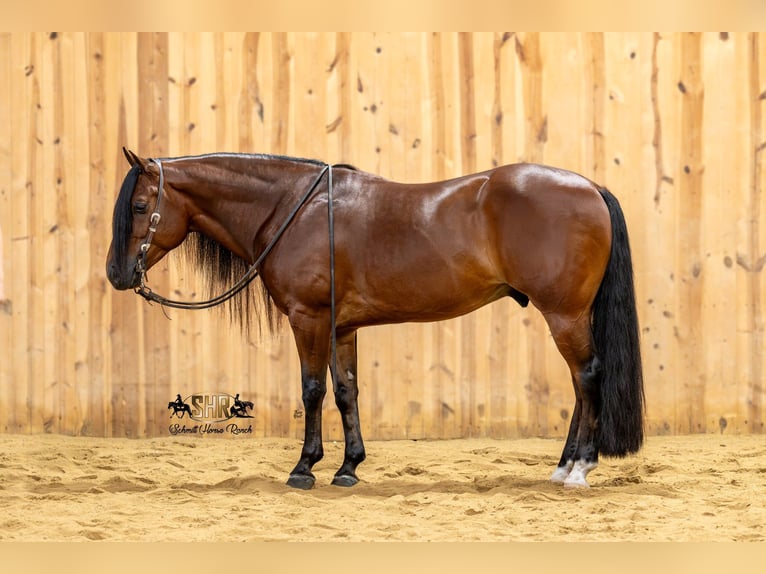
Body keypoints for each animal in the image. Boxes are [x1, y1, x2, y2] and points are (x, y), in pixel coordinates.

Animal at [107, 148, 644, 490]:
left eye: (140, 205)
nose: (115, 273)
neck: (295, 210)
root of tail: (590, 187)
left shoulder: (309, 318)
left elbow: (312, 391)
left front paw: (304, 468)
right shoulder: (341, 326)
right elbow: (346, 390)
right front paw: (349, 467)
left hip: (564, 314)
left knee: (588, 376)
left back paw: (579, 469)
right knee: (579, 384)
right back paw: (562, 466)